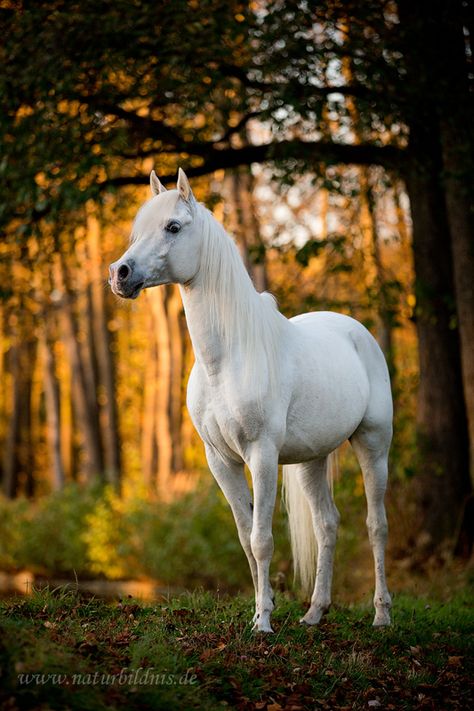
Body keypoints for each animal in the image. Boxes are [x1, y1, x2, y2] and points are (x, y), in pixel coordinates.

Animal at [111, 171, 392, 636]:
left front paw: (262, 623)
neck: (226, 360)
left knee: (376, 525)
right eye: (138, 231)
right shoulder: (220, 460)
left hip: (373, 444)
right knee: (327, 524)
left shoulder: (260, 455)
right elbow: (245, 537)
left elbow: (262, 539)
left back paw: (382, 615)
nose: (120, 273)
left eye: (173, 227)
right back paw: (314, 612)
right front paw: (265, 608)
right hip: (312, 460)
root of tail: (357, 332)